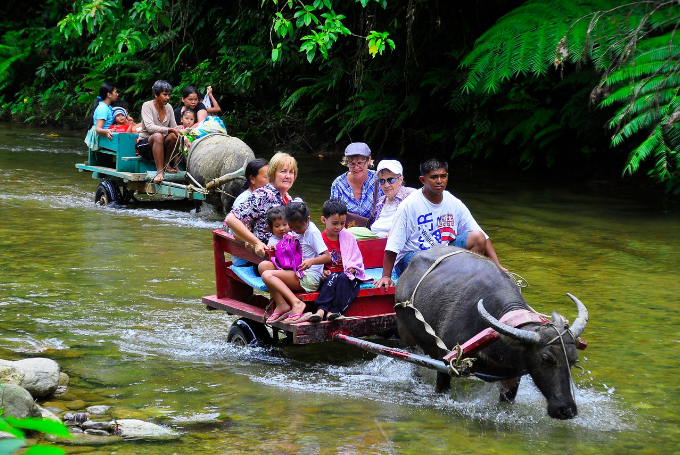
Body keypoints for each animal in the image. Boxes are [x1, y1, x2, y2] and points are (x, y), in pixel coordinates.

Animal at [396, 246, 588, 420]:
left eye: (573, 360)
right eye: (546, 359)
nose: (567, 410)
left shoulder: (512, 377)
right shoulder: (444, 363)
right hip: (407, 337)